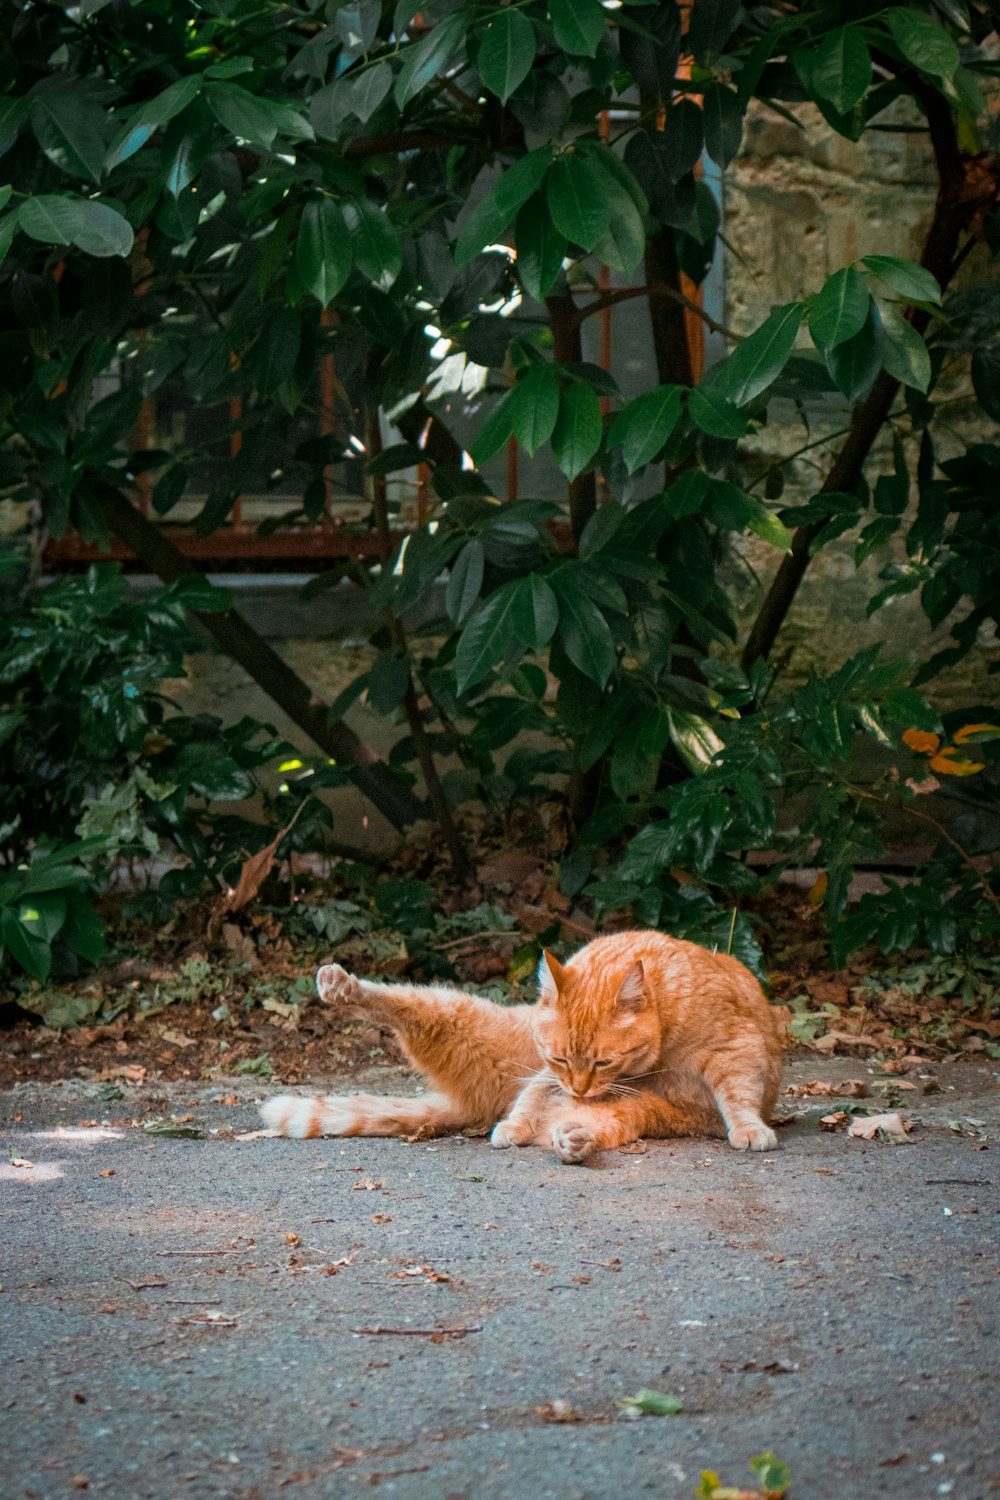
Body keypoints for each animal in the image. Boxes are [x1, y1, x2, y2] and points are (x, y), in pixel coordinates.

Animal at [257, 924, 779, 1158]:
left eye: (603, 1063)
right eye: (563, 1059)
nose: (580, 1089)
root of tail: (481, 1103)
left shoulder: (736, 1051)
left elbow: (738, 1095)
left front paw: (749, 1127)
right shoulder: (547, 1073)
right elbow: (531, 1097)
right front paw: (515, 1125)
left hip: (636, 1112)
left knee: (587, 1125)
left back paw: (575, 1137)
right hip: (459, 1015)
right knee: (409, 1006)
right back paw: (344, 987)